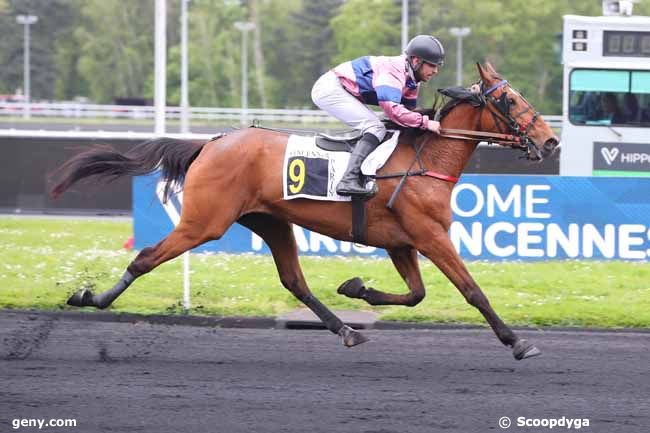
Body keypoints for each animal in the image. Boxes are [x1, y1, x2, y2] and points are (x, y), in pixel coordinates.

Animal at [50, 62, 556, 360]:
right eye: (510, 100)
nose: (550, 141)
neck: (424, 160)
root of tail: (210, 143)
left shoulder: (402, 242)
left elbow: (415, 294)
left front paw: (357, 287)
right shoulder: (430, 236)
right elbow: (472, 291)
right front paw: (517, 342)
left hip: (271, 222)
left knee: (295, 281)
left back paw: (346, 330)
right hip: (203, 222)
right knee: (145, 258)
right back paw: (91, 298)